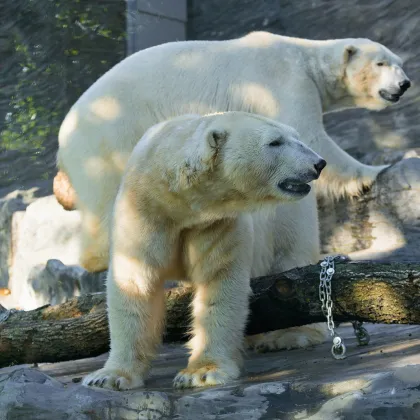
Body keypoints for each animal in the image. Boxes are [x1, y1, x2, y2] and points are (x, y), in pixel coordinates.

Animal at [55, 30, 410, 352]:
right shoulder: (283, 85)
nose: (405, 84)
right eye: (381, 62)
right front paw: (375, 171)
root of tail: (62, 138)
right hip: (109, 139)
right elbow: (312, 136)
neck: (306, 57)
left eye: (399, 62)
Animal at [81, 111, 324, 390]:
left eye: (297, 137)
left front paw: (201, 372)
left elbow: (218, 282)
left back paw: (292, 336)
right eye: (275, 142)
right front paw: (108, 376)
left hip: (286, 215)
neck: (179, 201)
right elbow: (133, 282)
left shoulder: (216, 222)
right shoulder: (143, 210)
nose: (319, 163)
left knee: (293, 255)